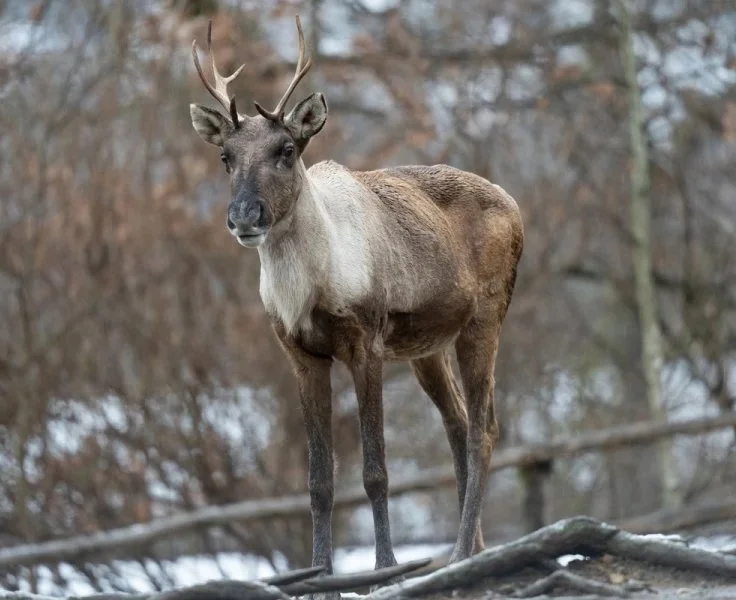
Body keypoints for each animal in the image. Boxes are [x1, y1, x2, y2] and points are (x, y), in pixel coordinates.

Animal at [189, 15, 524, 591]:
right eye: (225, 157)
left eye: (287, 149)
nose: (245, 214)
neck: (307, 291)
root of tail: (516, 204)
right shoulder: (303, 356)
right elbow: (319, 480)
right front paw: (320, 572)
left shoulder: (366, 342)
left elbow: (375, 471)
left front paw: (384, 567)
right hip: (427, 347)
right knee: (458, 425)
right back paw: (473, 553)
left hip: (485, 318)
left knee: (484, 429)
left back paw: (461, 552)